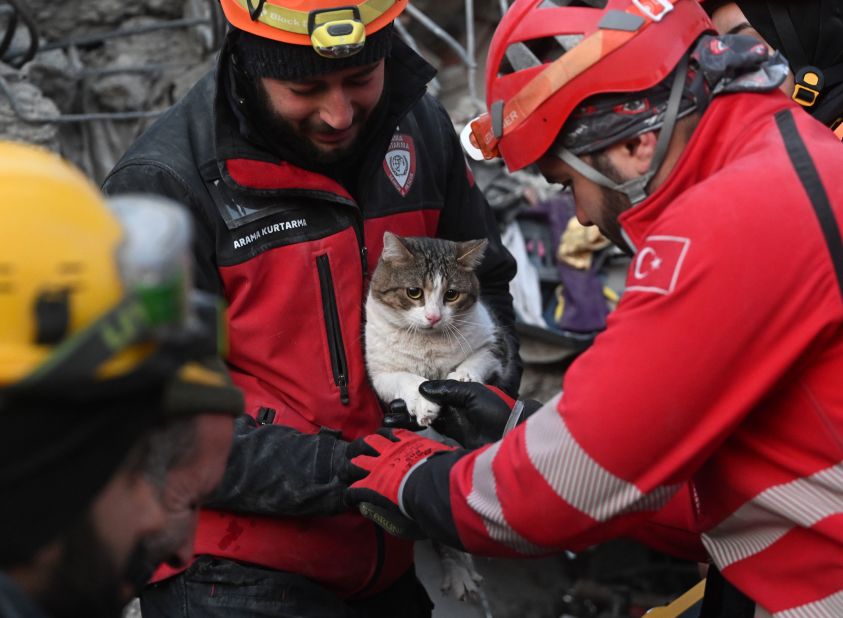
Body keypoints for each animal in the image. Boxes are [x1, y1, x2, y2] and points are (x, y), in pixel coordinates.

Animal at [364, 229, 508, 426]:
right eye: (414, 292)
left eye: (451, 294)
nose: (433, 317)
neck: (428, 342)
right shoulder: (380, 372)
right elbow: (404, 377)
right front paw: (422, 401)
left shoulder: (493, 339)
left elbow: (481, 357)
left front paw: (462, 377)